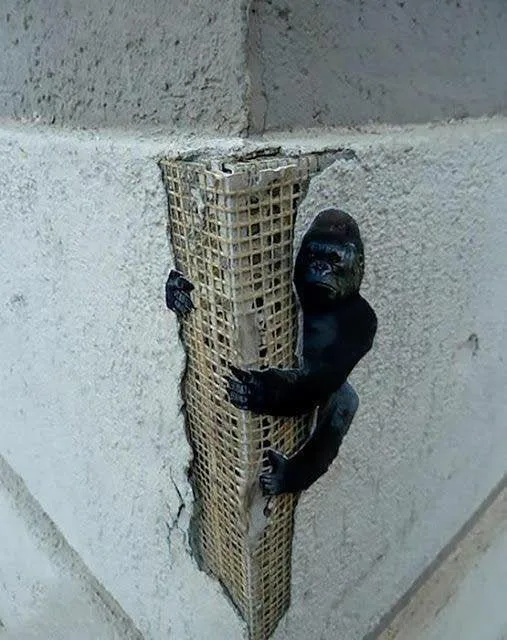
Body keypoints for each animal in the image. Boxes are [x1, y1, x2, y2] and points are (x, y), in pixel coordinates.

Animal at [165, 209, 376, 495]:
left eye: (334, 259)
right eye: (313, 256)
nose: (320, 268)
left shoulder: (364, 319)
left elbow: (322, 376)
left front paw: (264, 391)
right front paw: (174, 292)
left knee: (342, 404)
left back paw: (290, 476)